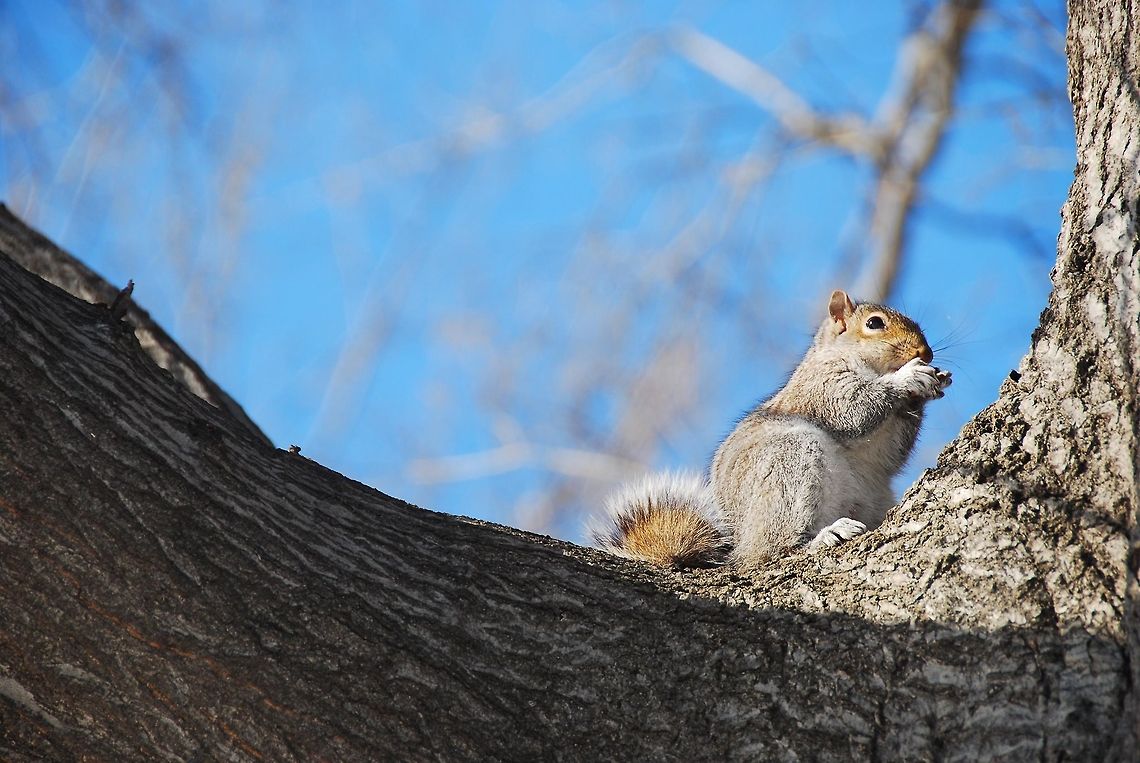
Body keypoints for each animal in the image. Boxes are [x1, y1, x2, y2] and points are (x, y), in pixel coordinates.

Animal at [590, 289, 951, 569]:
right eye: (875, 323)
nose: (925, 352)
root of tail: (740, 546)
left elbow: (893, 453)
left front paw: (932, 384)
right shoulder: (822, 386)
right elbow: (854, 410)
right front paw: (910, 377)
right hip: (788, 464)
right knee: (770, 552)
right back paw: (824, 536)